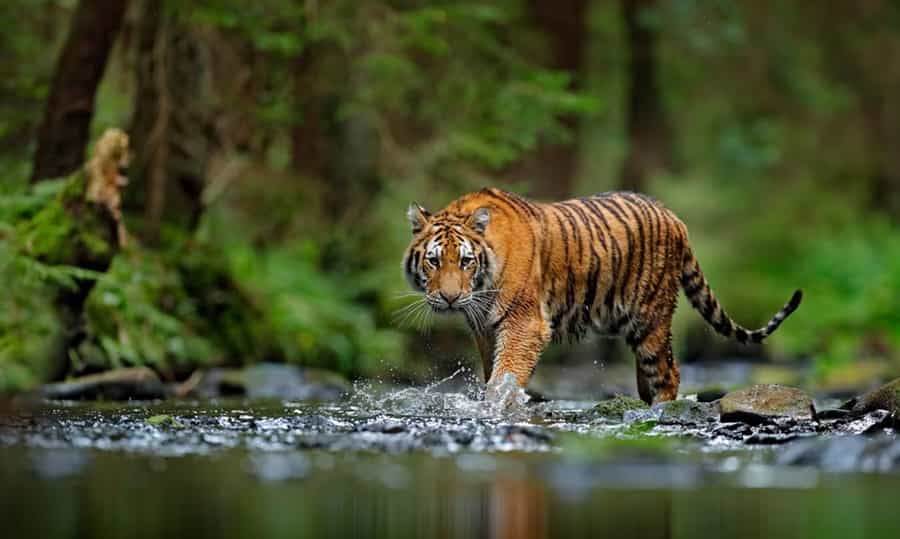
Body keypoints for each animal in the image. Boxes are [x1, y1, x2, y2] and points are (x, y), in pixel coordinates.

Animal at [402, 190, 800, 404]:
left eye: (465, 261)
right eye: (434, 261)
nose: (450, 298)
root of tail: (675, 217)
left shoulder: (525, 323)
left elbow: (506, 375)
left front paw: (499, 406)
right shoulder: (485, 329)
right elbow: (493, 372)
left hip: (650, 319)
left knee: (668, 373)